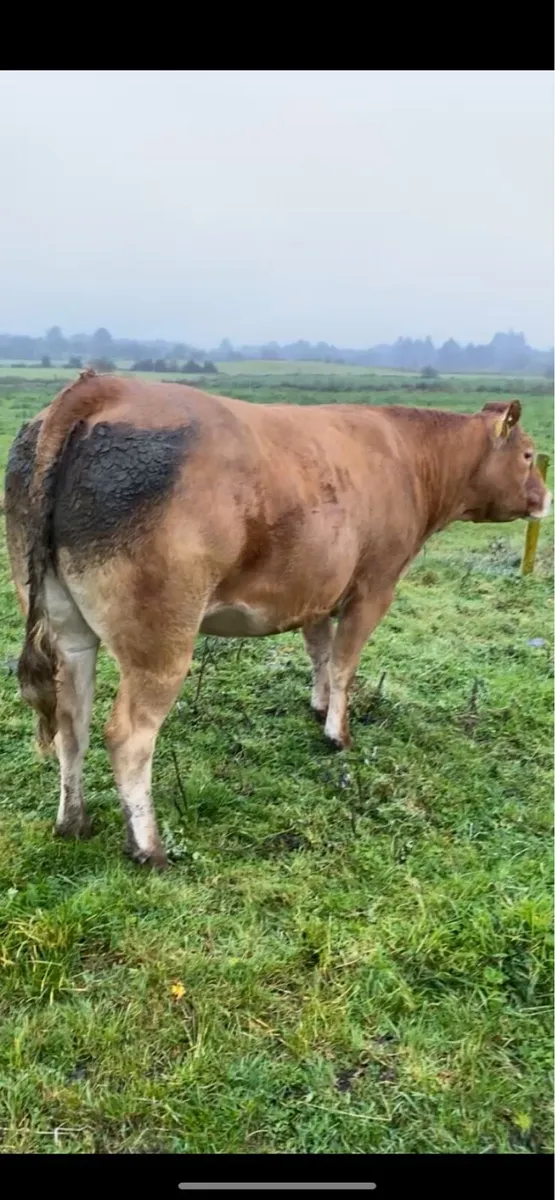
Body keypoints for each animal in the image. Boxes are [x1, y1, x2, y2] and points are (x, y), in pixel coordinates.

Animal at [4, 369, 551, 868]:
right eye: (528, 454)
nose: (546, 498)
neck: (411, 459)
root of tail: (102, 387)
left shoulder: (316, 590)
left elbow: (320, 652)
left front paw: (317, 705)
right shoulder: (374, 586)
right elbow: (345, 663)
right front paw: (337, 734)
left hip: (66, 627)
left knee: (71, 721)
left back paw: (73, 821)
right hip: (160, 639)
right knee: (128, 735)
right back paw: (149, 848)